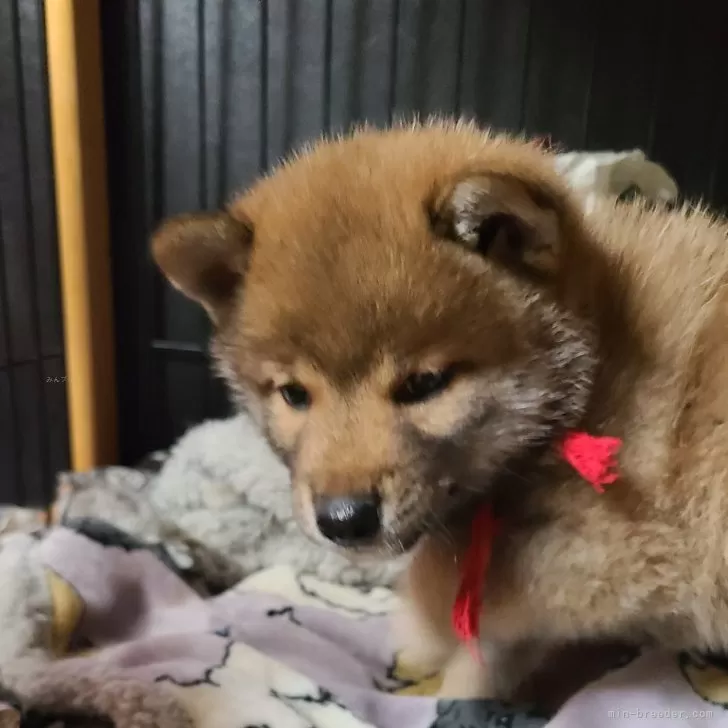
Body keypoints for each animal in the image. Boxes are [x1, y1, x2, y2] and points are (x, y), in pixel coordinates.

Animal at [151, 119, 728, 700]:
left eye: (424, 384)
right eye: (293, 394)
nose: (343, 519)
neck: (599, 364)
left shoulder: (605, 552)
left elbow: (480, 626)